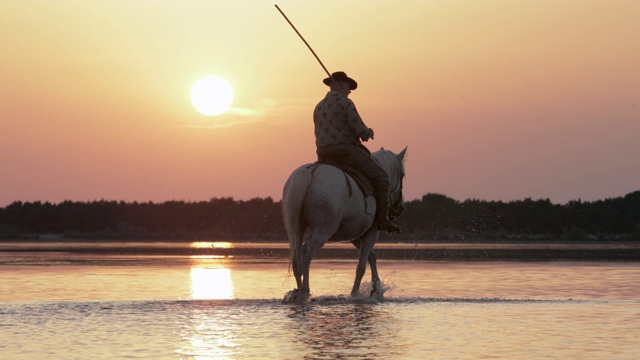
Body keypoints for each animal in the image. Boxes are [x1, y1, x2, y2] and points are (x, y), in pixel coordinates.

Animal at [282, 146, 408, 300]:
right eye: (402, 175)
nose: (401, 208)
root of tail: (309, 173)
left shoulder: (355, 236)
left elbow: (371, 256)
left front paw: (375, 288)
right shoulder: (372, 233)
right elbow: (361, 266)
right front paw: (355, 294)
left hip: (297, 229)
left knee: (296, 255)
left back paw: (297, 290)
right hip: (323, 231)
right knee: (307, 252)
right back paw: (304, 289)